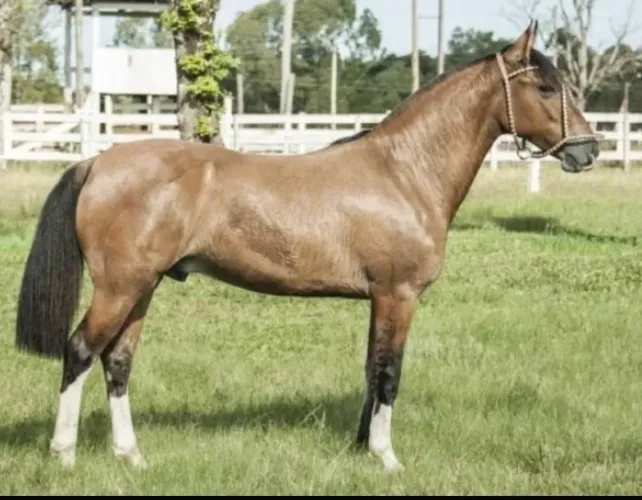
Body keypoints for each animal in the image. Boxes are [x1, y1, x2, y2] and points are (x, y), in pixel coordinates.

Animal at [14, 20, 599, 473]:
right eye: (545, 88)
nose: (587, 150)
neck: (404, 172)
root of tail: (98, 161)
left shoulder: (379, 299)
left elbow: (371, 369)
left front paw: (362, 448)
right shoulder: (399, 295)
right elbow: (389, 373)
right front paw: (387, 458)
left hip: (142, 288)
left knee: (117, 361)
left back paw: (131, 457)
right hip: (120, 287)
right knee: (80, 350)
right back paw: (64, 454)